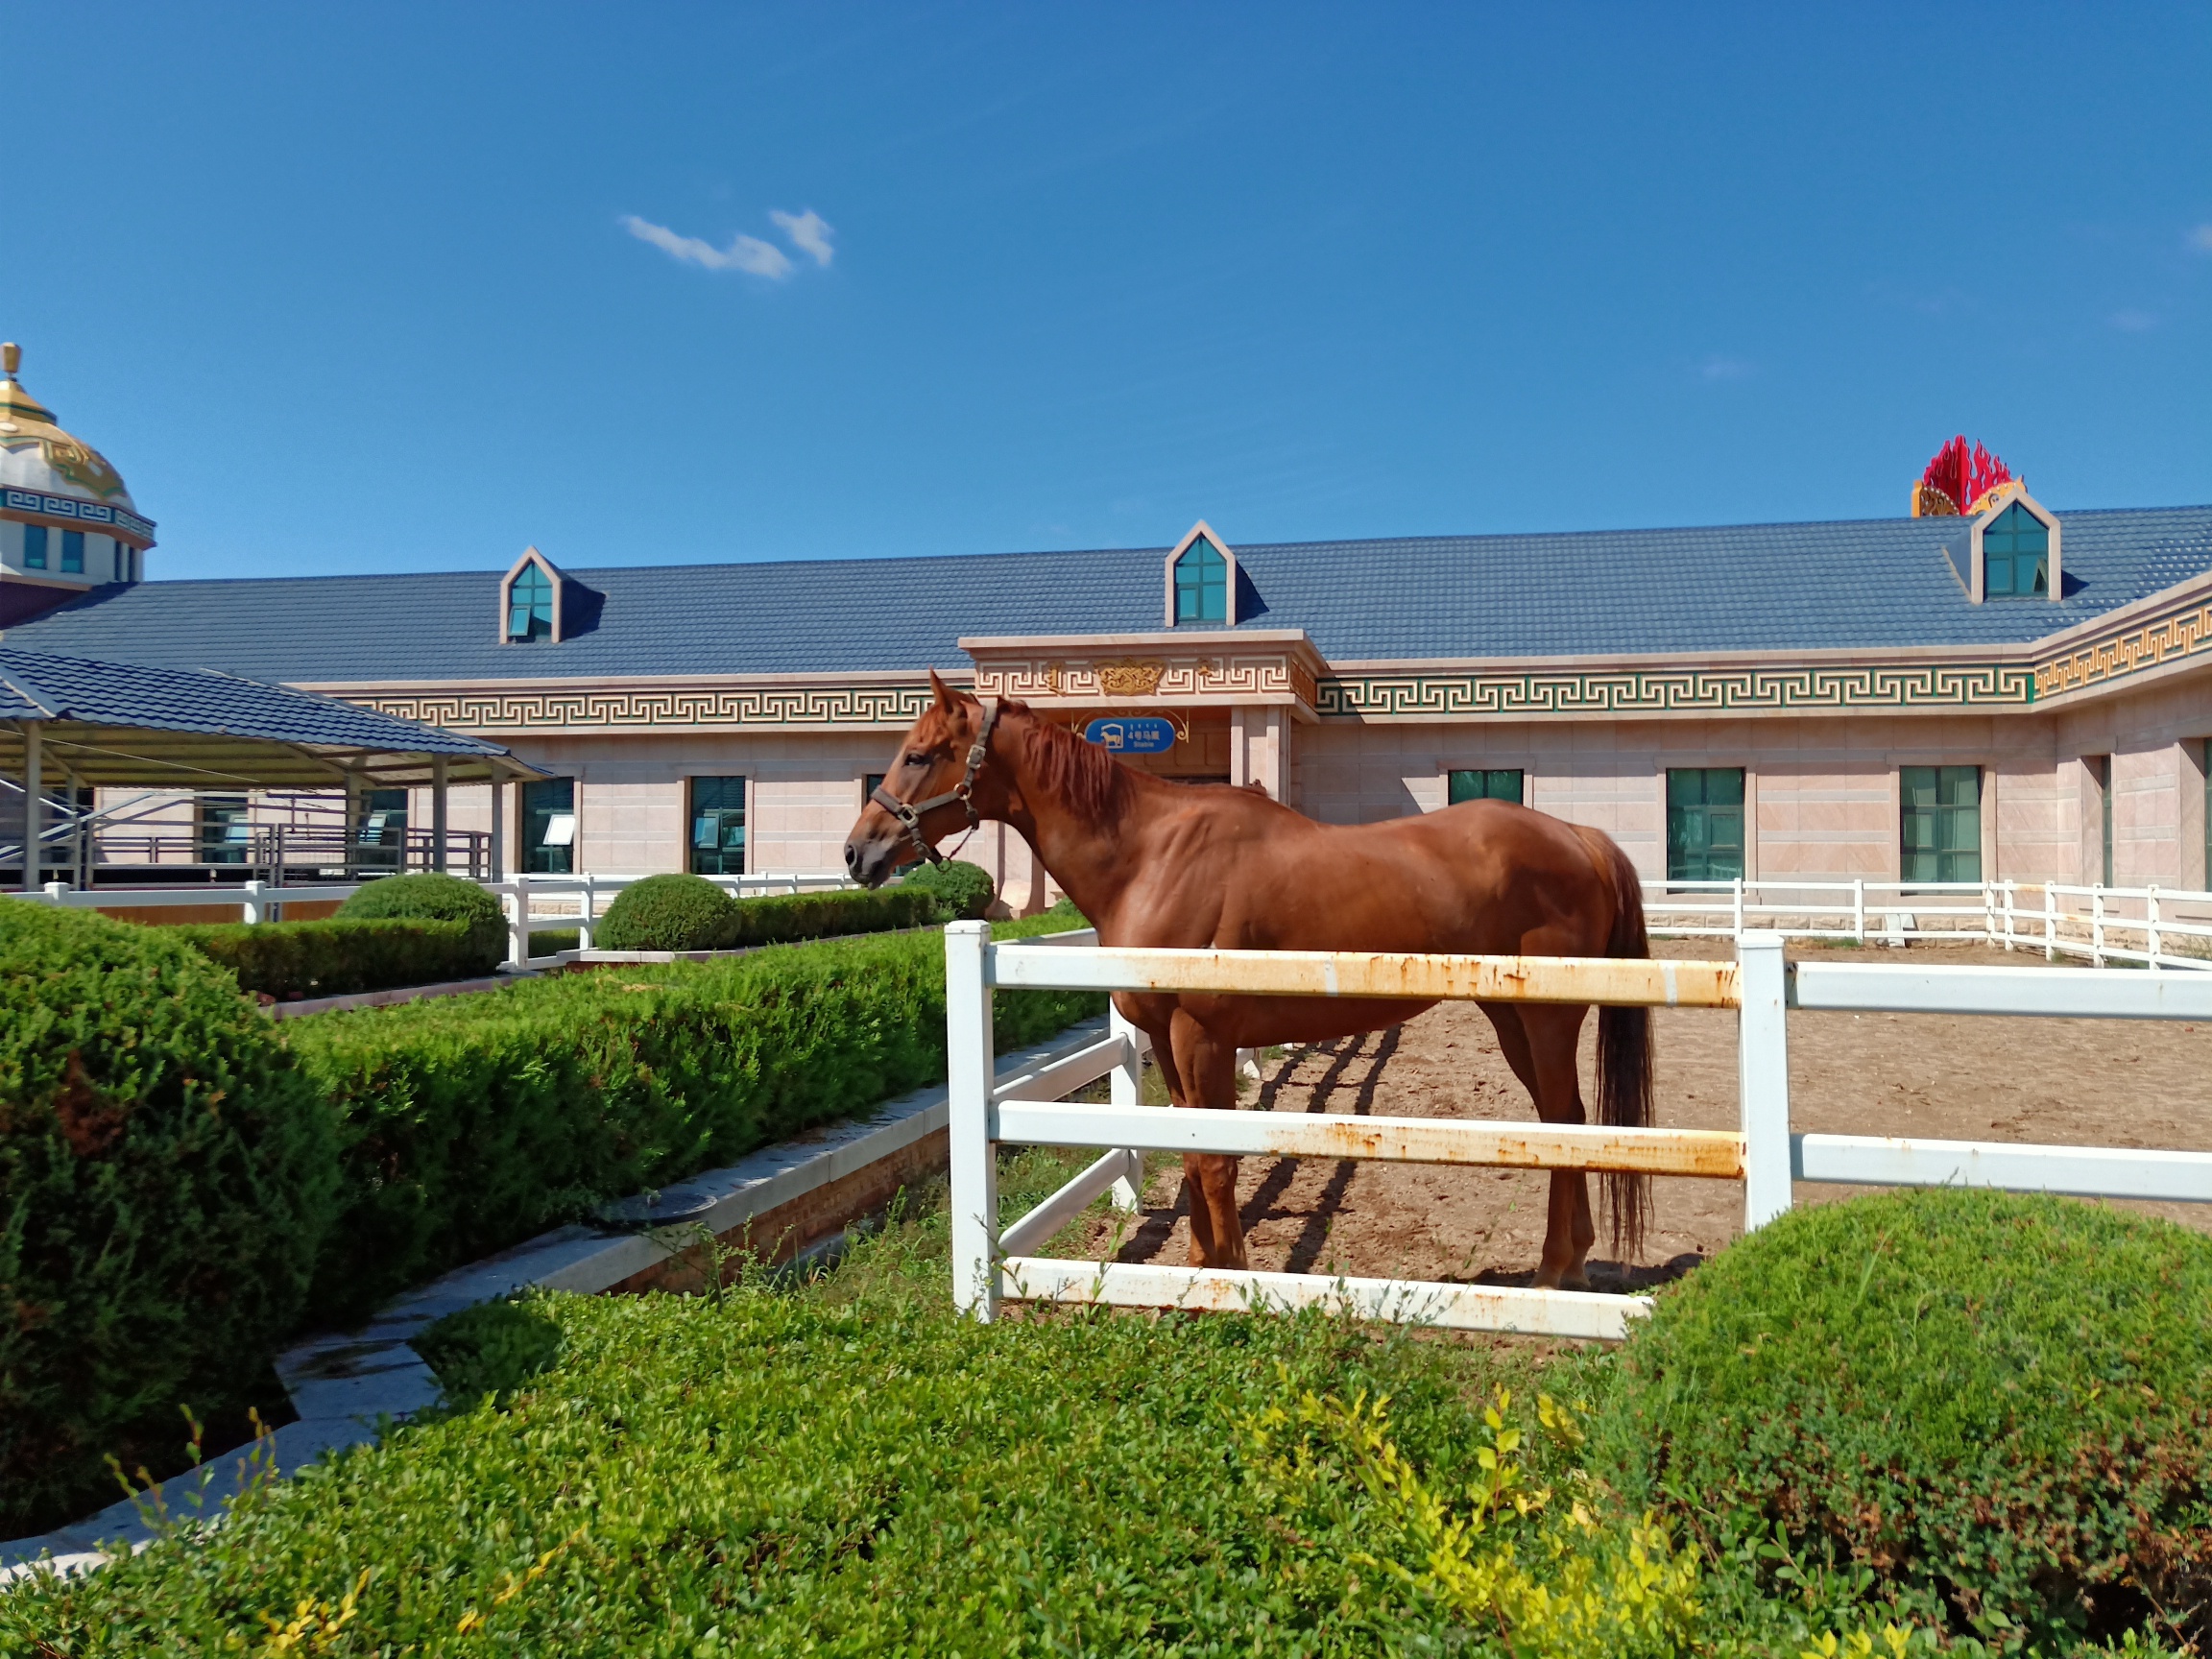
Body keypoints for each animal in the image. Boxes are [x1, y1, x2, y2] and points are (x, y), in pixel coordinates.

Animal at [843, 672, 1656, 1289]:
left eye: (919, 755)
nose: (858, 853)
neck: (1151, 855)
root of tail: (1577, 837)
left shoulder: (1201, 1035)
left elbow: (1212, 1157)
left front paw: (1227, 1272)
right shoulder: (1169, 1042)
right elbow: (1190, 1148)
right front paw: (1201, 1264)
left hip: (1545, 1019)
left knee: (1568, 1124)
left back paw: (1553, 1271)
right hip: (1511, 1016)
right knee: (1562, 1121)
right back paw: (1569, 1263)